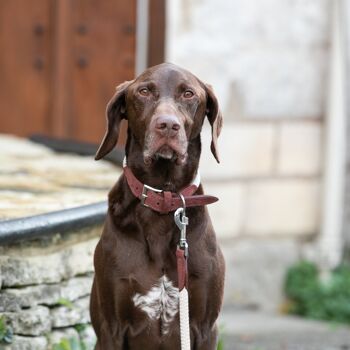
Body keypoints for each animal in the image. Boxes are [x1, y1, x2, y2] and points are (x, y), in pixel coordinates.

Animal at [90, 61, 226, 348]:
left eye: (188, 94)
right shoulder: (111, 328)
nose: (167, 125)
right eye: (144, 91)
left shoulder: (206, 327)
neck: (164, 197)